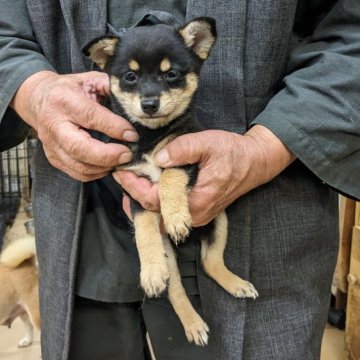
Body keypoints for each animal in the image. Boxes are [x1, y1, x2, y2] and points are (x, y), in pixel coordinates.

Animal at [84, 16, 258, 346]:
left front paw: (176, 217)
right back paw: (192, 322)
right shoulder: (135, 190)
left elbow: (168, 176)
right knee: (176, 287)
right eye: (130, 76)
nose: (150, 103)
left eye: (172, 74)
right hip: (179, 252)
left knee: (210, 261)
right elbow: (144, 229)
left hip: (220, 219)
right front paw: (150, 272)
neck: (151, 135)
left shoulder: (186, 156)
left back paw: (236, 284)